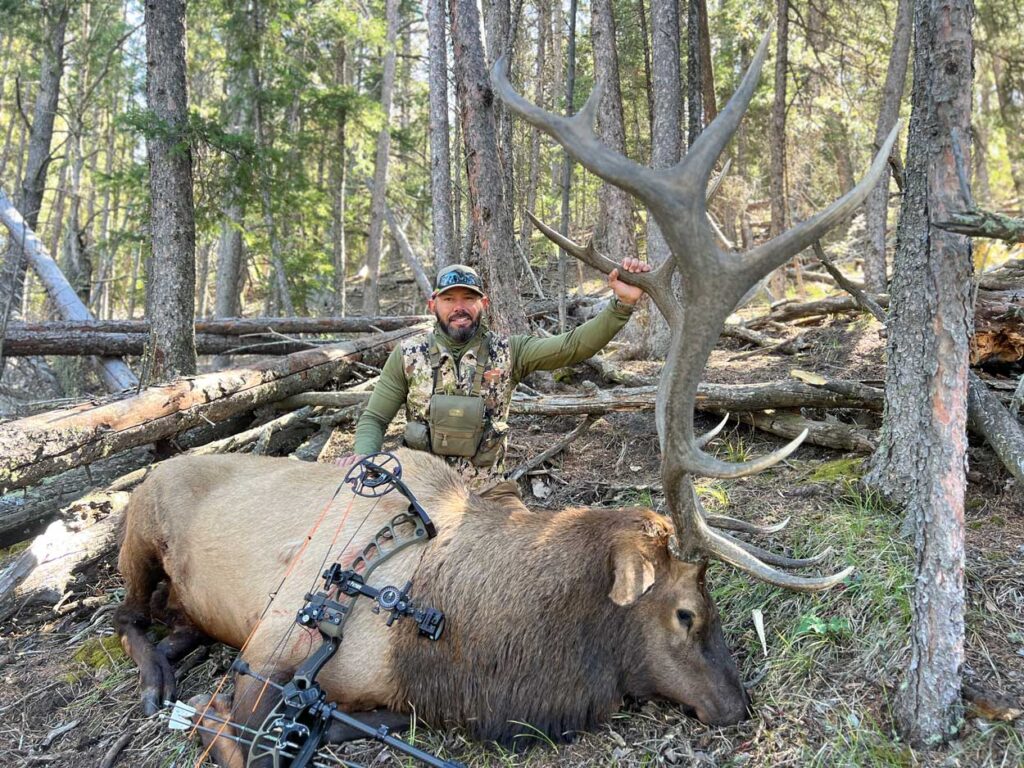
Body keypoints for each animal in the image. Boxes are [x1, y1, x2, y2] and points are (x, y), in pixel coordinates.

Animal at [114, 28, 897, 765]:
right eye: (685, 613)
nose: (738, 704)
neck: (452, 642)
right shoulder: (273, 645)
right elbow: (226, 728)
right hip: (139, 533)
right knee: (128, 616)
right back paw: (156, 677)